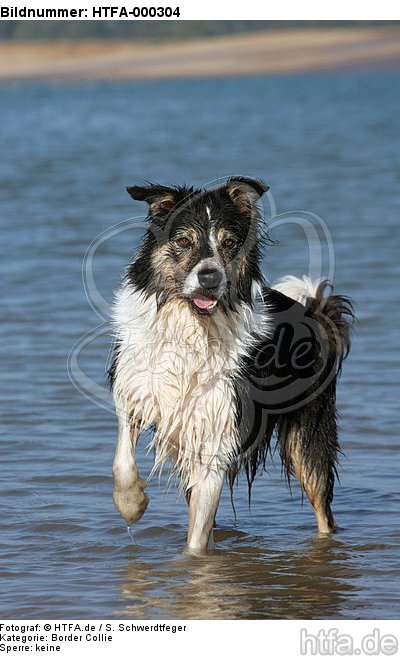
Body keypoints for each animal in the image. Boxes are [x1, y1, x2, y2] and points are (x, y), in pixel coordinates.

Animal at [108, 177, 354, 552]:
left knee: (322, 506)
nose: (209, 278)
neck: (192, 326)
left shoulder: (219, 427)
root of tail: (314, 313)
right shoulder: (136, 387)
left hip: (309, 433)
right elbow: (122, 458)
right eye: (184, 241)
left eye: (229, 244)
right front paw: (132, 505)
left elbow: (198, 537)